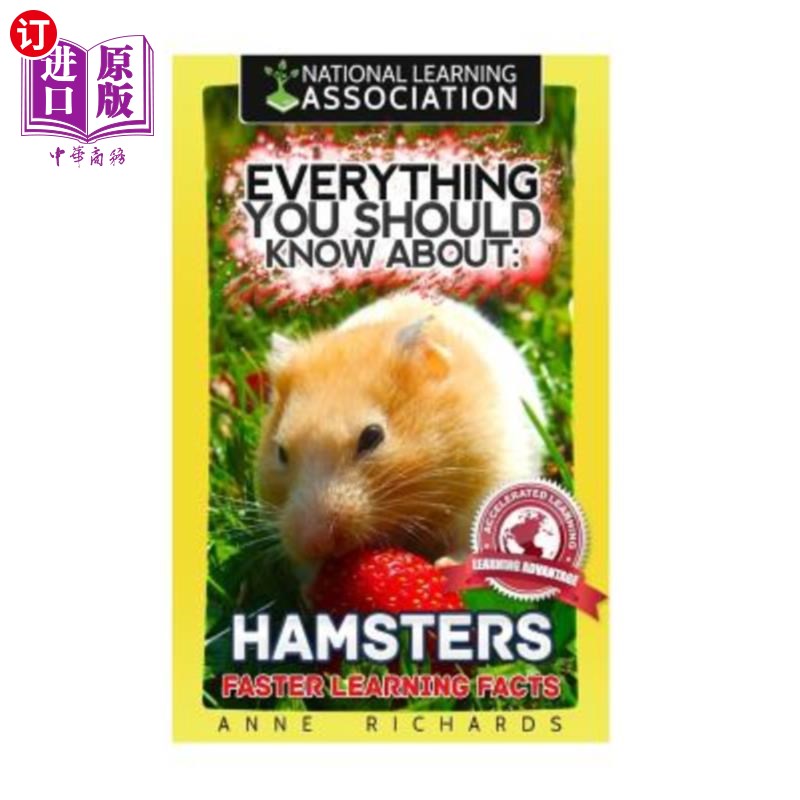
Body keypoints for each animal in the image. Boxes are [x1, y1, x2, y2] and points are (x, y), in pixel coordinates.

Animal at [256, 292, 545, 565]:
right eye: (281, 452)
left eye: (372, 436)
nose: (315, 543)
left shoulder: (491, 479)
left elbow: (469, 539)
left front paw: (445, 564)